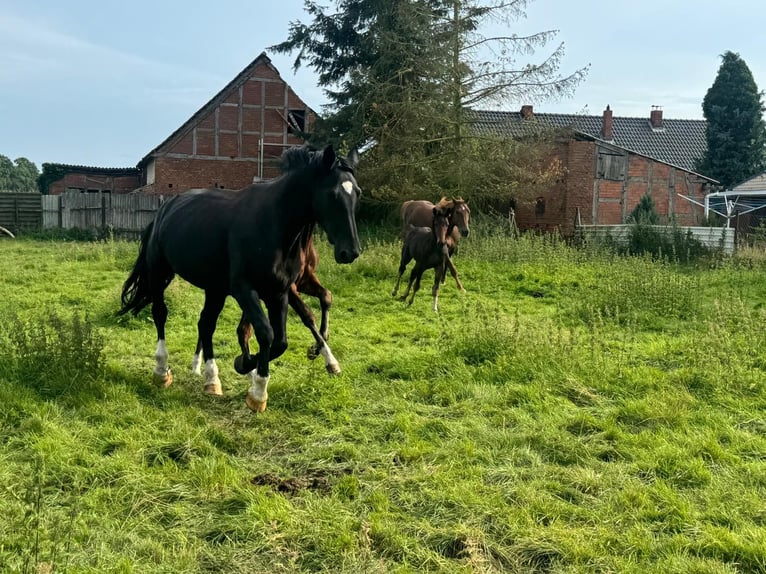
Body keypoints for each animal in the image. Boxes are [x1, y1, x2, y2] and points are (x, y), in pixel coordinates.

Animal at [118, 144, 362, 414]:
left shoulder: (279, 292)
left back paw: (212, 379)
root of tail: (164, 210)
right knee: (161, 313)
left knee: (206, 324)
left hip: (214, 288)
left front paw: (248, 367)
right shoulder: (245, 290)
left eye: (357, 193)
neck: (274, 225)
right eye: (332, 194)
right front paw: (257, 390)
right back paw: (162, 371)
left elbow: (281, 341)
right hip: (159, 272)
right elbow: (266, 333)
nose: (350, 251)